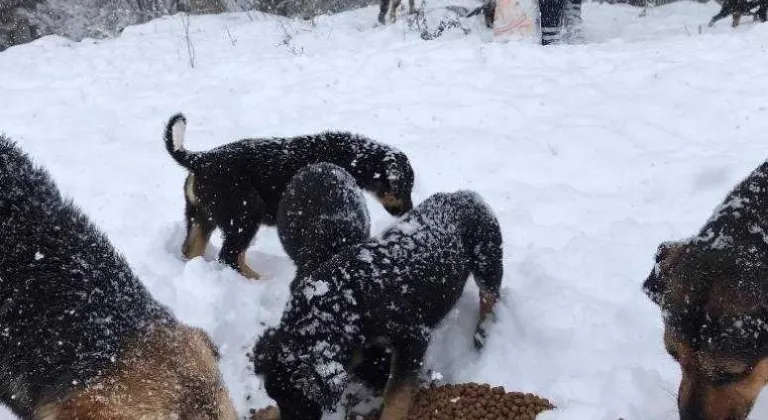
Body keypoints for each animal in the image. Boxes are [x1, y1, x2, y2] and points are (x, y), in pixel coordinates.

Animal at [162, 113, 414, 280]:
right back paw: (258, 279)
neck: (352, 157)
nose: (409, 210)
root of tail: (199, 159)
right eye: (404, 187)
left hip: (201, 217)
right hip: (245, 213)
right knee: (230, 256)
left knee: (192, 250)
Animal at [252, 190, 504, 420]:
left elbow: (396, 393)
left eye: (298, 398)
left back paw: (482, 334)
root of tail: (469, 195)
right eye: (276, 397)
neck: (343, 305)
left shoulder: (413, 338)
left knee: (489, 299)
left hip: (488, 260)